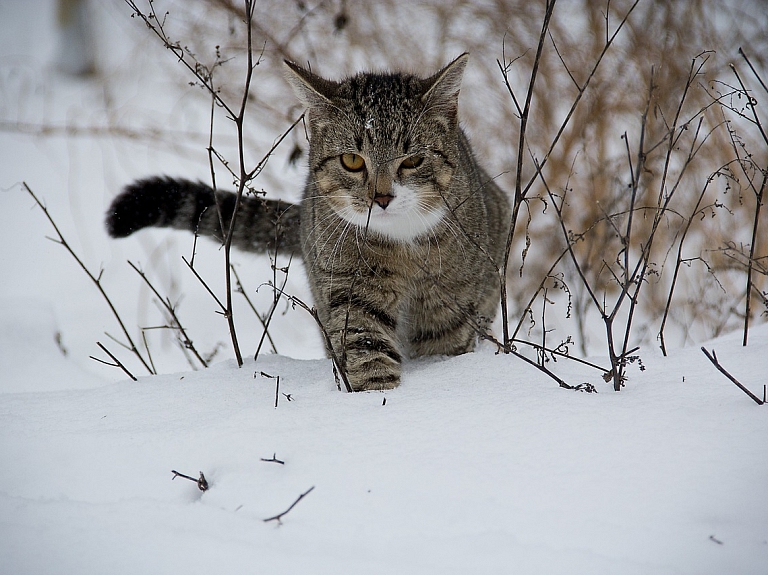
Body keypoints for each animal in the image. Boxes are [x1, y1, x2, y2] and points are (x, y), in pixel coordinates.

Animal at [103, 54, 510, 390]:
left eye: (412, 160)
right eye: (351, 160)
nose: (381, 198)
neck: (401, 245)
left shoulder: (451, 304)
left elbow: (443, 346)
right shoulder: (348, 287)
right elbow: (365, 346)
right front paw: (376, 397)